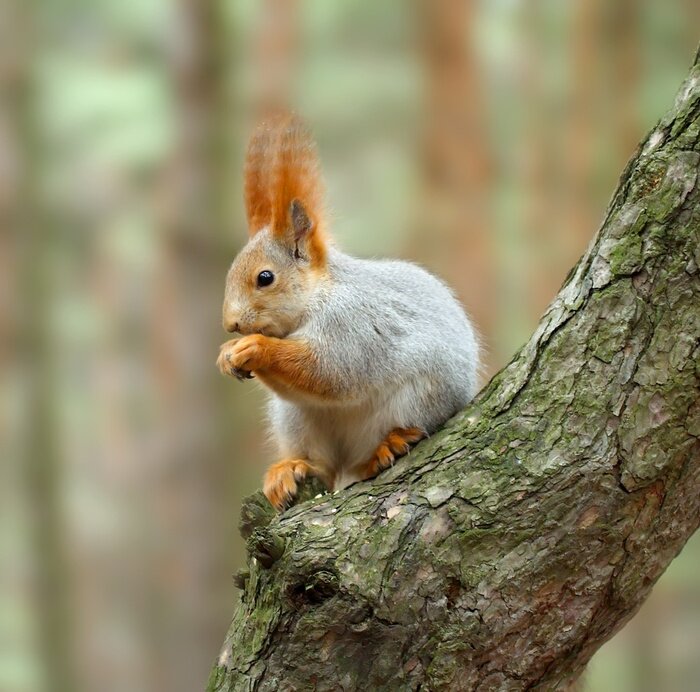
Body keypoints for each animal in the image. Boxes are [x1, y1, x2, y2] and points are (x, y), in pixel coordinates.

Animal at [216, 114, 480, 510]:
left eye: (265, 278)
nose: (230, 324)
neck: (316, 299)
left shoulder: (353, 326)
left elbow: (329, 371)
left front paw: (254, 348)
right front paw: (226, 354)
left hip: (417, 399)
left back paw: (386, 448)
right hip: (296, 420)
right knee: (322, 465)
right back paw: (290, 469)